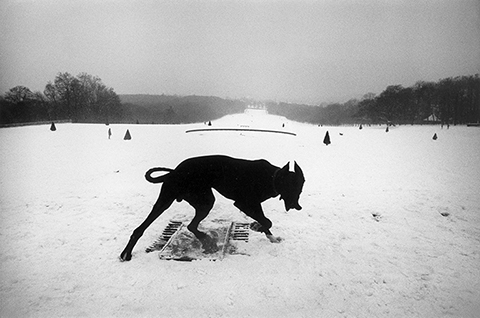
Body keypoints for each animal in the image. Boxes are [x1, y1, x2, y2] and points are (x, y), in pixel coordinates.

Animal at [122, 154, 306, 260]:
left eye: (300, 188)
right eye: (290, 187)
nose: (297, 207)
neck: (271, 177)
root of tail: (173, 172)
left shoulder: (254, 205)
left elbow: (266, 221)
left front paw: (270, 237)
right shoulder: (245, 204)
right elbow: (267, 221)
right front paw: (257, 227)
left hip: (200, 201)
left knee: (191, 225)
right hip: (180, 200)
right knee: (143, 228)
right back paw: (127, 253)